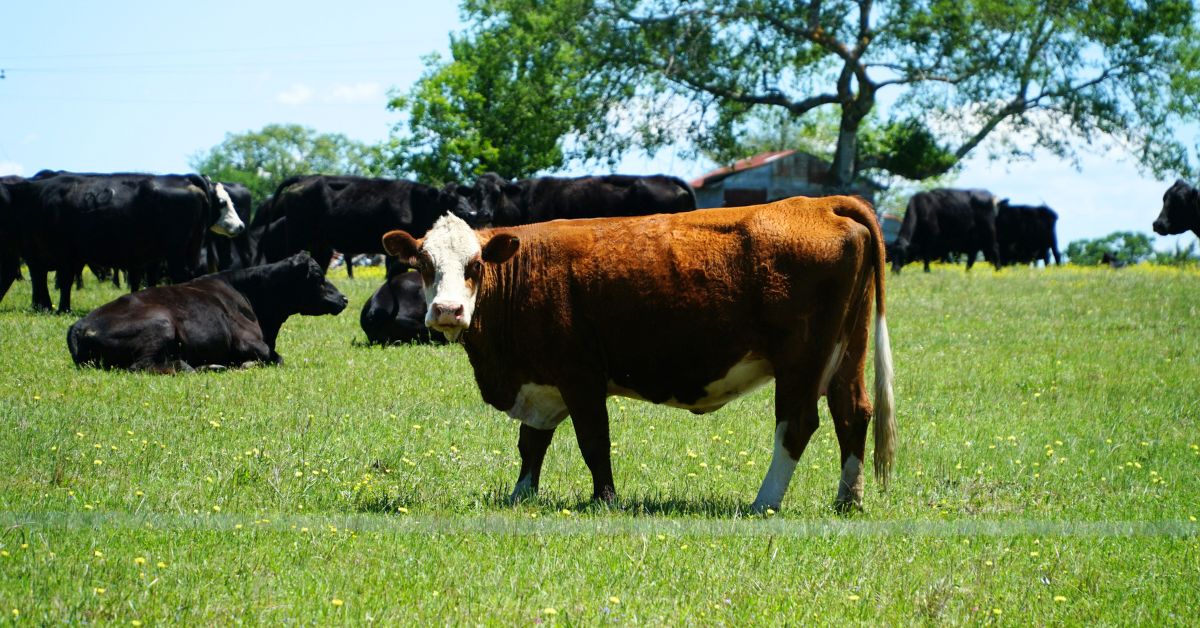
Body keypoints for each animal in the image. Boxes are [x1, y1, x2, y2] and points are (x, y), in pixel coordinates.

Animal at [1, 171, 245, 312]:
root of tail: (184, 178)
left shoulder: (62, 255)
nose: (241, 226)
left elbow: (61, 281)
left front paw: (60, 309)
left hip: (176, 252)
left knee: (182, 276)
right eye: (223, 202)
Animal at [67, 253, 347, 372]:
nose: (344, 298)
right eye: (318, 276)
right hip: (161, 324)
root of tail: (79, 325)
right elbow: (276, 358)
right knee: (144, 366)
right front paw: (244, 365)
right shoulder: (250, 343)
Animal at [256, 175, 480, 272]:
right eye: (447, 199)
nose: (470, 212)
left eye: (465, 196)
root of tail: (305, 178)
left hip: (321, 244)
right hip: (297, 237)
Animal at [381, 196, 896, 513]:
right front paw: (521, 495)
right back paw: (848, 500)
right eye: (424, 264)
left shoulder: (580, 375)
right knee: (853, 413)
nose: (447, 311)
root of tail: (819, 203)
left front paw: (604, 499)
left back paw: (764, 502)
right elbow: (532, 443)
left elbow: (593, 441)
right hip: (846, 352)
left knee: (797, 425)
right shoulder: (543, 381)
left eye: (475, 265)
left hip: (801, 360)